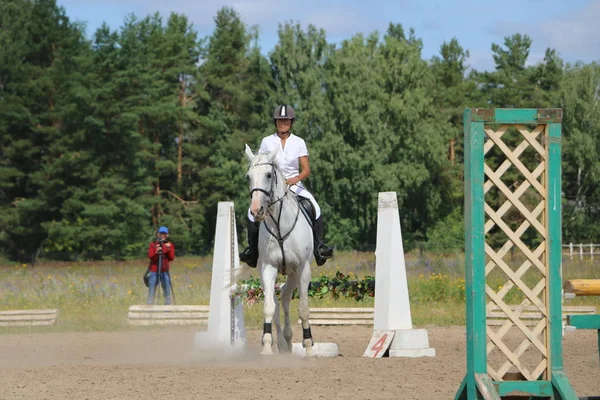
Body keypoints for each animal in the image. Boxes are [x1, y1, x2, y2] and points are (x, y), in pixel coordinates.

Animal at [244, 144, 316, 356]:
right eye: (248, 177)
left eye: (269, 175)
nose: (257, 211)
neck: (279, 223)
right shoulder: (268, 267)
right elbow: (268, 307)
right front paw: (267, 348)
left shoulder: (302, 269)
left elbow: (303, 310)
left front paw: (309, 348)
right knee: (278, 301)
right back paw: (283, 343)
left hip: (293, 273)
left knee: (285, 296)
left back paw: (293, 340)